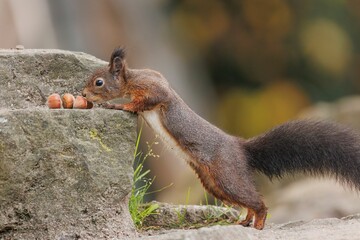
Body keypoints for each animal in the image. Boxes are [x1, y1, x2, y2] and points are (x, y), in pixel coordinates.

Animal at [83, 47, 360, 231]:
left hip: (226, 175)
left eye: (99, 82)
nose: (83, 93)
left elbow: (146, 100)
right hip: (213, 183)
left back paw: (258, 224)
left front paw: (119, 106)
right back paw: (244, 221)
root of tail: (241, 148)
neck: (133, 78)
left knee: (257, 202)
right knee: (246, 203)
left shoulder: (155, 90)